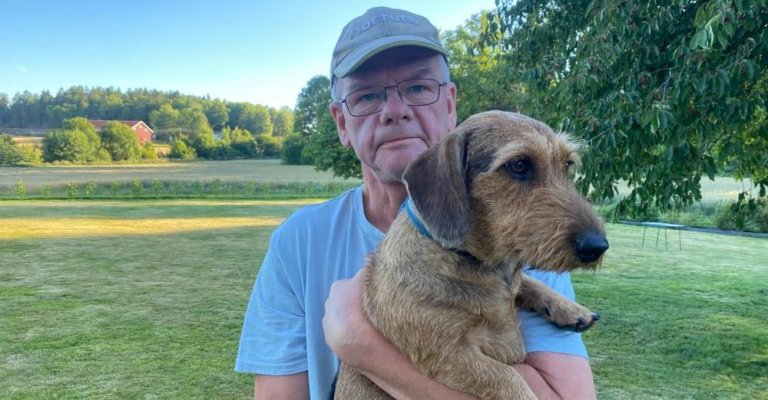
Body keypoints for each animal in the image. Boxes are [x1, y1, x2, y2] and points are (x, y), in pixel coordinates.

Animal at [332, 111, 608, 398]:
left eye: (567, 164)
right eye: (519, 165)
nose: (597, 246)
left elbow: (529, 282)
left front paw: (569, 307)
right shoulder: (446, 354)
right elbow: (507, 376)